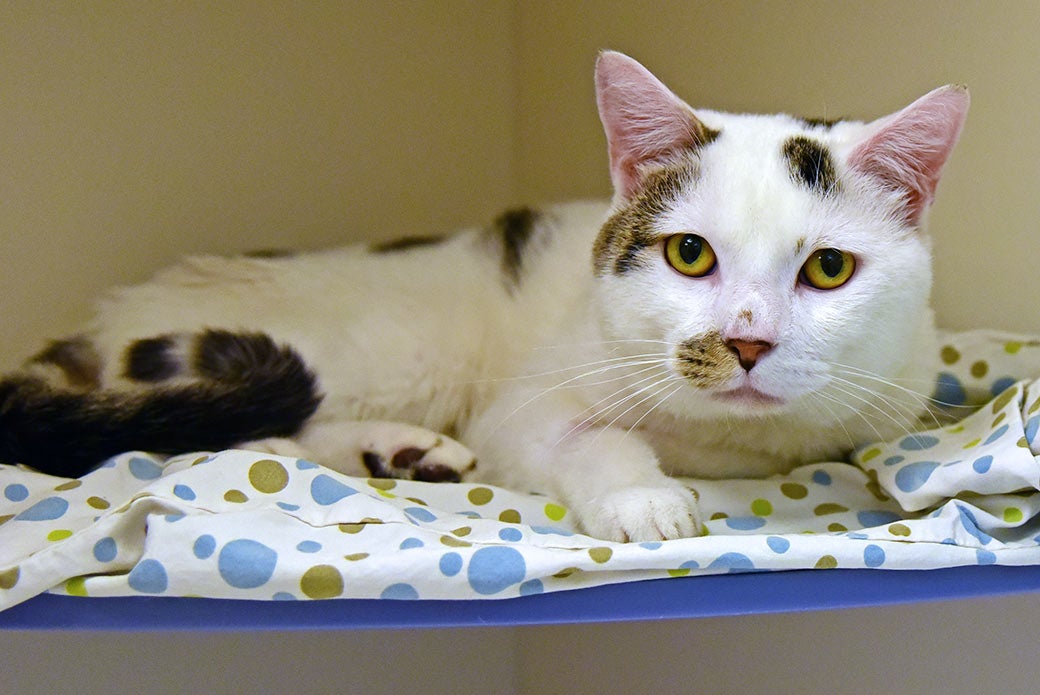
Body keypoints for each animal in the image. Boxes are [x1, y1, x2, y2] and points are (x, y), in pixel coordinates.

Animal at [0, 51, 968, 542]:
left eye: (829, 270)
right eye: (691, 254)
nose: (748, 341)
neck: (736, 447)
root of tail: (104, 313)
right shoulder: (522, 409)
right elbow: (593, 441)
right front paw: (644, 498)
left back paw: (402, 454)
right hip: (382, 352)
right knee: (227, 428)